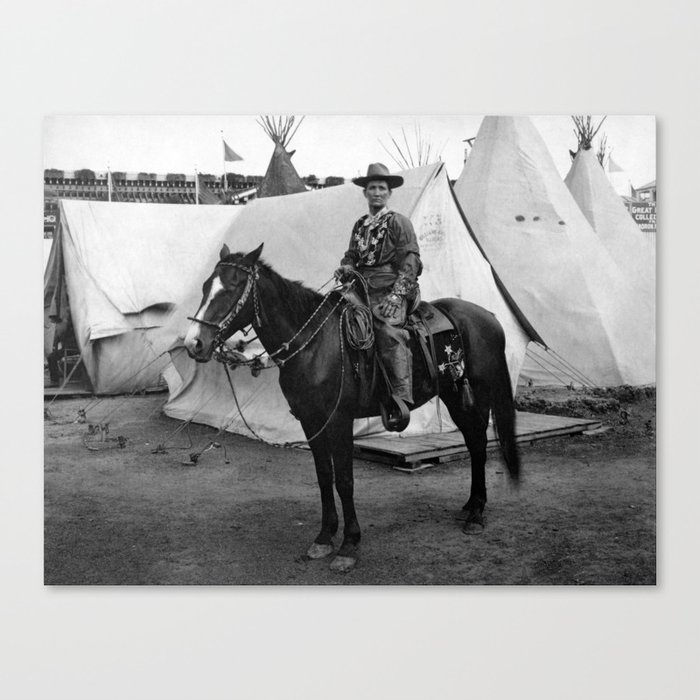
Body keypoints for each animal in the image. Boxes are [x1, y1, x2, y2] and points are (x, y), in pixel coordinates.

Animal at [185, 243, 520, 572]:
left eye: (232, 287)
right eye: (205, 286)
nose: (194, 344)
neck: (314, 344)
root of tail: (488, 317)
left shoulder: (339, 420)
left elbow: (345, 481)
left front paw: (349, 545)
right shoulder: (311, 421)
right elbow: (324, 477)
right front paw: (324, 537)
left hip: (477, 395)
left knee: (479, 443)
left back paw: (476, 515)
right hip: (453, 395)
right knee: (474, 442)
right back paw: (471, 506)